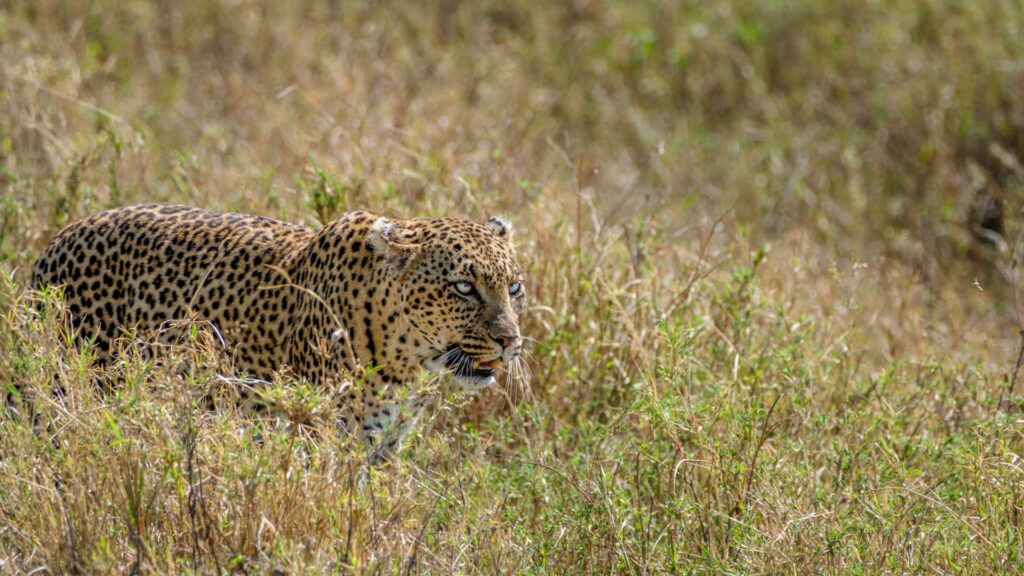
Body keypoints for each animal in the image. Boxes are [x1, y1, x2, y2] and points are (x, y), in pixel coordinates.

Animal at [29, 204, 527, 460]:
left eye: (514, 287)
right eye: (463, 288)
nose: (509, 342)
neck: (405, 362)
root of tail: (57, 239)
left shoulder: (381, 450)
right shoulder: (319, 441)